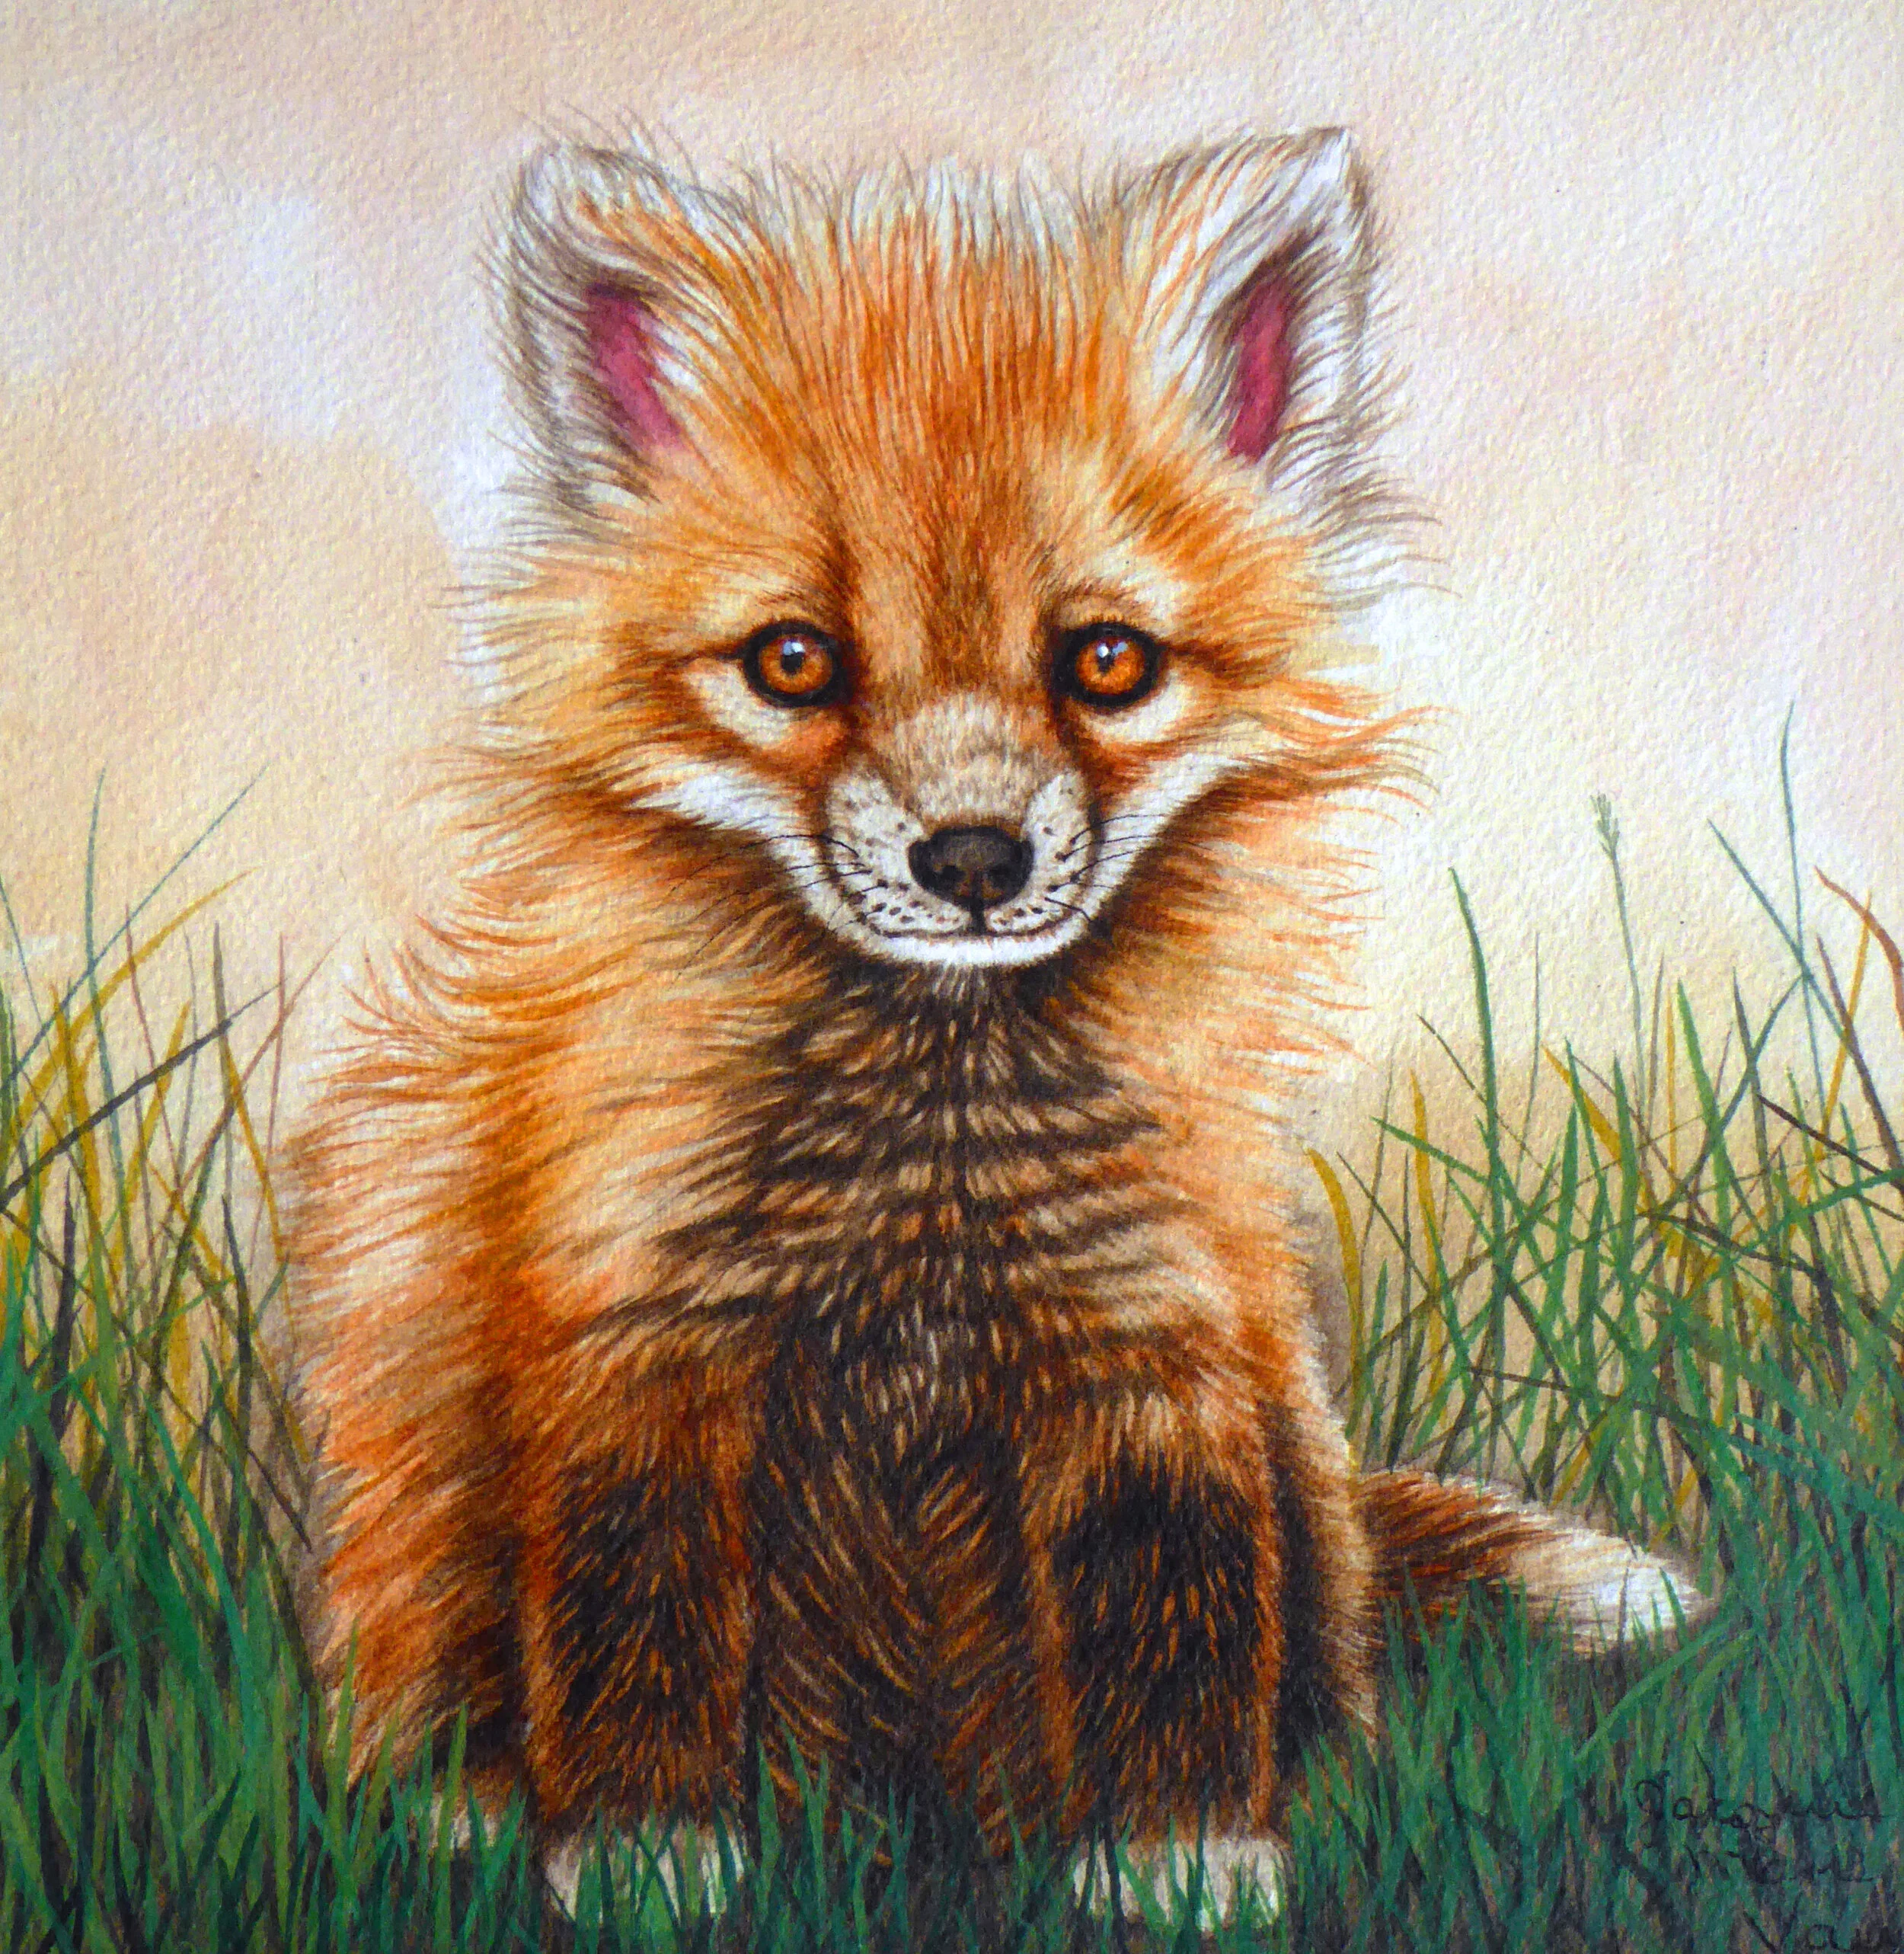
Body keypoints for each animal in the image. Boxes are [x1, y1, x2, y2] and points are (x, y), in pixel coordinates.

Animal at [286, 129, 1708, 1921]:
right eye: (793, 662)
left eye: (1104, 660)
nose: (971, 861)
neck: (927, 1182)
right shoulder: (640, 1334)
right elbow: (638, 1624)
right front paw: (643, 1864)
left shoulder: (1144, 1332)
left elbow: (1173, 1621)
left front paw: (1183, 1870)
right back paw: (465, 1808)